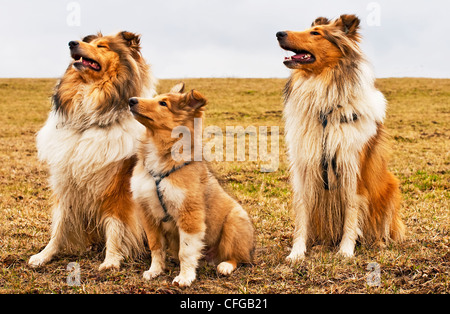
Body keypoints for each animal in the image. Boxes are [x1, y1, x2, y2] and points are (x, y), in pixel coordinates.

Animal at [28, 30, 157, 270]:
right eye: (89, 42)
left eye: (102, 46)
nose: (72, 43)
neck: (87, 122)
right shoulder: (66, 183)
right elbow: (60, 225)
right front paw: (44, 255)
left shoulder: (118, 187)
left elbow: (116, 224)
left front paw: (111, 259)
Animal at [128, 83, 255, 288]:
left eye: (163, 103)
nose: (131, 100)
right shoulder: (147, 212)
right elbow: (156, 246)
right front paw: (155, 271)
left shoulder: (189, 214)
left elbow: (186, 251)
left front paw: (185, 277)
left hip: (235, 222)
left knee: (238, 257)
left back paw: (225, 266)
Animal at [276, 14, 406, 262]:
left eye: (315, 33)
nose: (278, 33)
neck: (326, 110)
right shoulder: (304, 170)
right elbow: (301, 216)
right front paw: (297, 252)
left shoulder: (353, 171)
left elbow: (351, 215)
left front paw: (346, 250)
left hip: (390, 187)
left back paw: (379, 243)